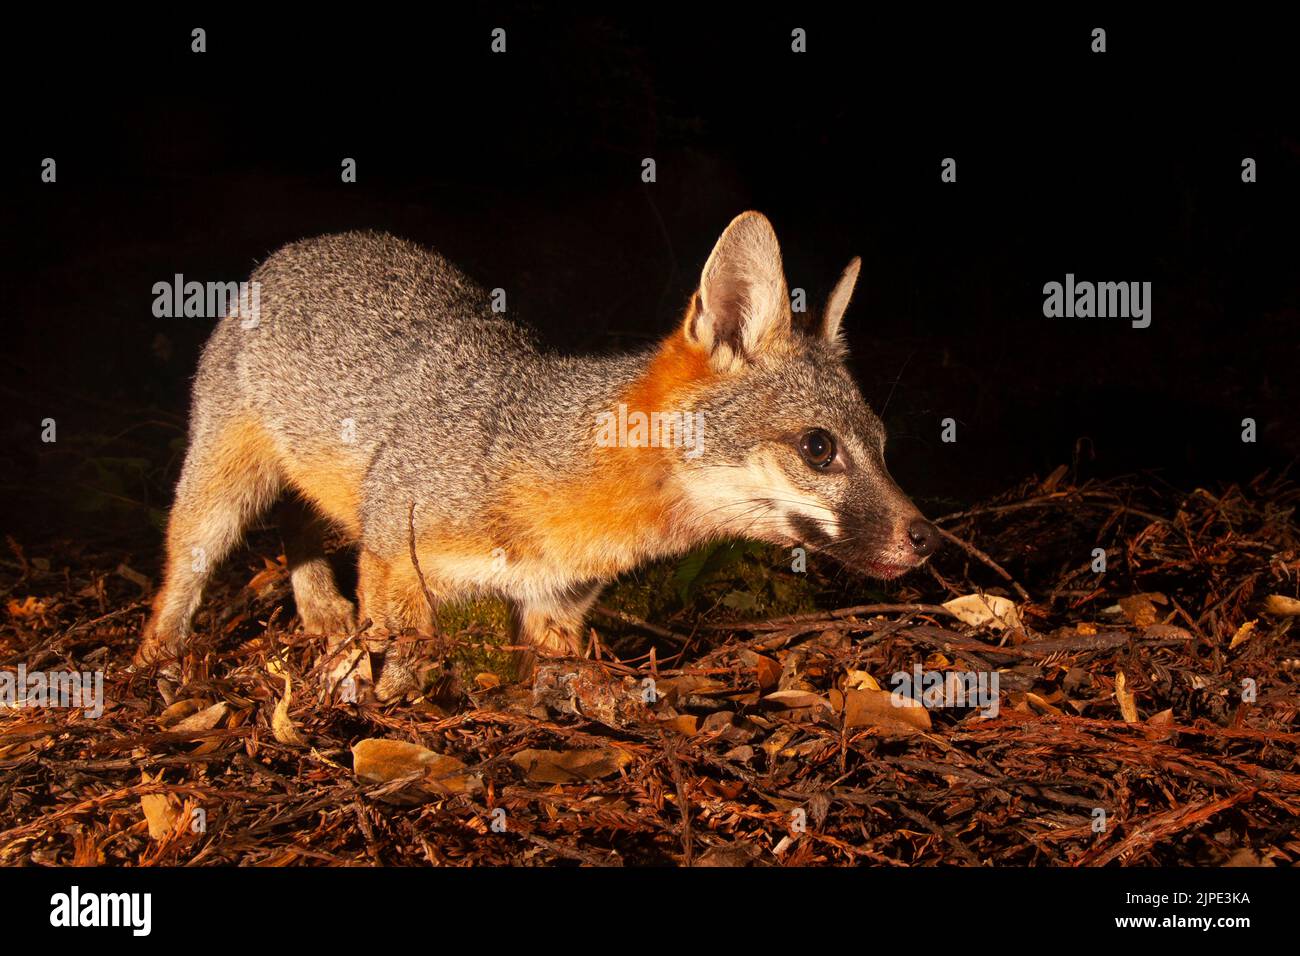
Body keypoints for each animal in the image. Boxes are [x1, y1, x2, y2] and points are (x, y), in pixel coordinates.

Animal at [135, 211, 938, 697]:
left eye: (884, 447)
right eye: (819, 448)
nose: (927, 538)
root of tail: (301, 248)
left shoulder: (556, 609)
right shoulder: (394, 549)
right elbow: (411, 653)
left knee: (297, 527)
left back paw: (319, 608)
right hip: (220, 497)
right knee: (187, 567)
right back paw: (158, 657)